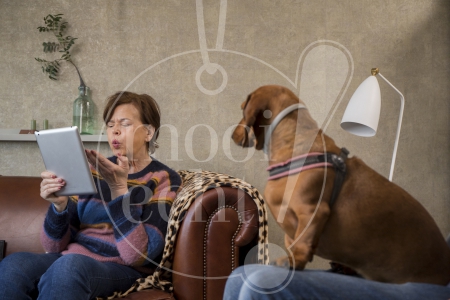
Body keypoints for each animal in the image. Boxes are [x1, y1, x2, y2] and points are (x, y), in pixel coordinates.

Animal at [232, 85, 450, 286]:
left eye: (242, 108)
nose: (232, 134)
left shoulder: (312, 211)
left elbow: (301, 241)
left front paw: (294, 261)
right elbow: (291, 241)